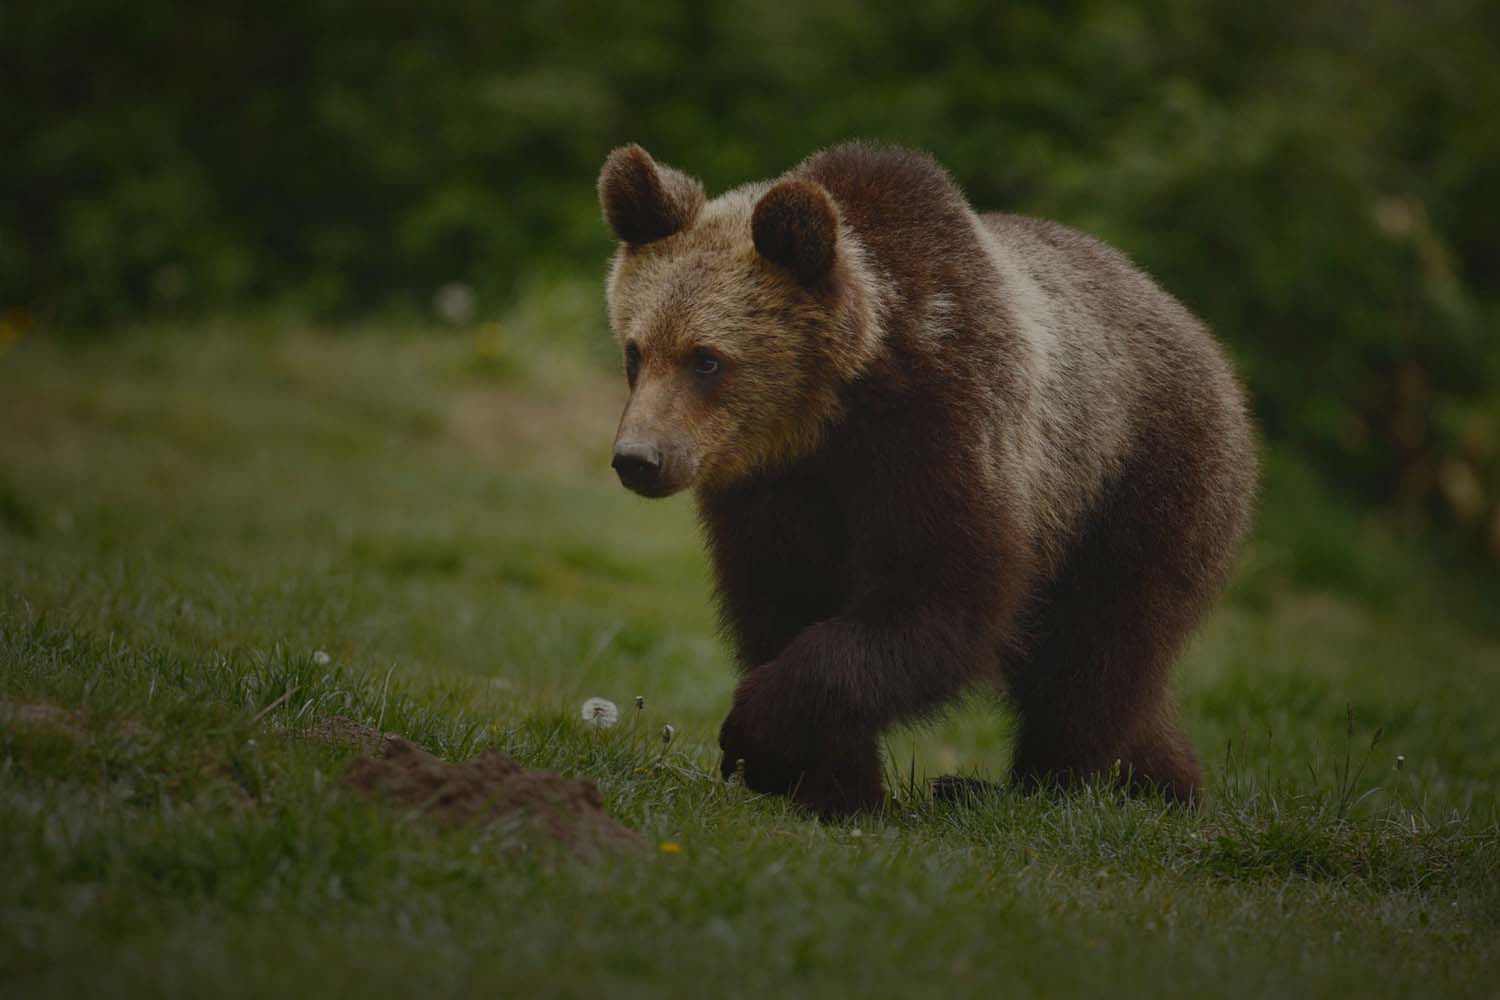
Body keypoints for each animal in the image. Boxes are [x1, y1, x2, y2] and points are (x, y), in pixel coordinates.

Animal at [596, 141, 1257, 818]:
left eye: (707, 360)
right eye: (636, 351)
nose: (639, 458)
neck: (833, 408)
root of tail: (1203, 337)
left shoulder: (943, 426)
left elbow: (942, 592)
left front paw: (757, 736)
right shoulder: (769, 485)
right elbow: (785, 596)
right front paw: (832, 782)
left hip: (1136, 477)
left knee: (1096, 647)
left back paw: (1030, 787)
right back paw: (1164, 782)